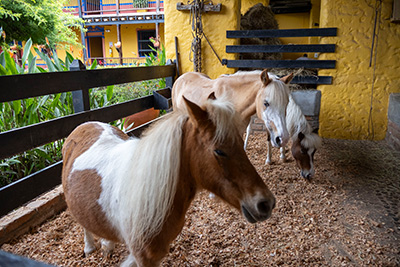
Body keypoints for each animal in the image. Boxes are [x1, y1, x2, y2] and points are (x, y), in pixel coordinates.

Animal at [61, 93, 276, 266]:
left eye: (241, 143)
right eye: (219, 151)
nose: (266, 203)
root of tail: (85, 124)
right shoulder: (144, 259)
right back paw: (89, 247)